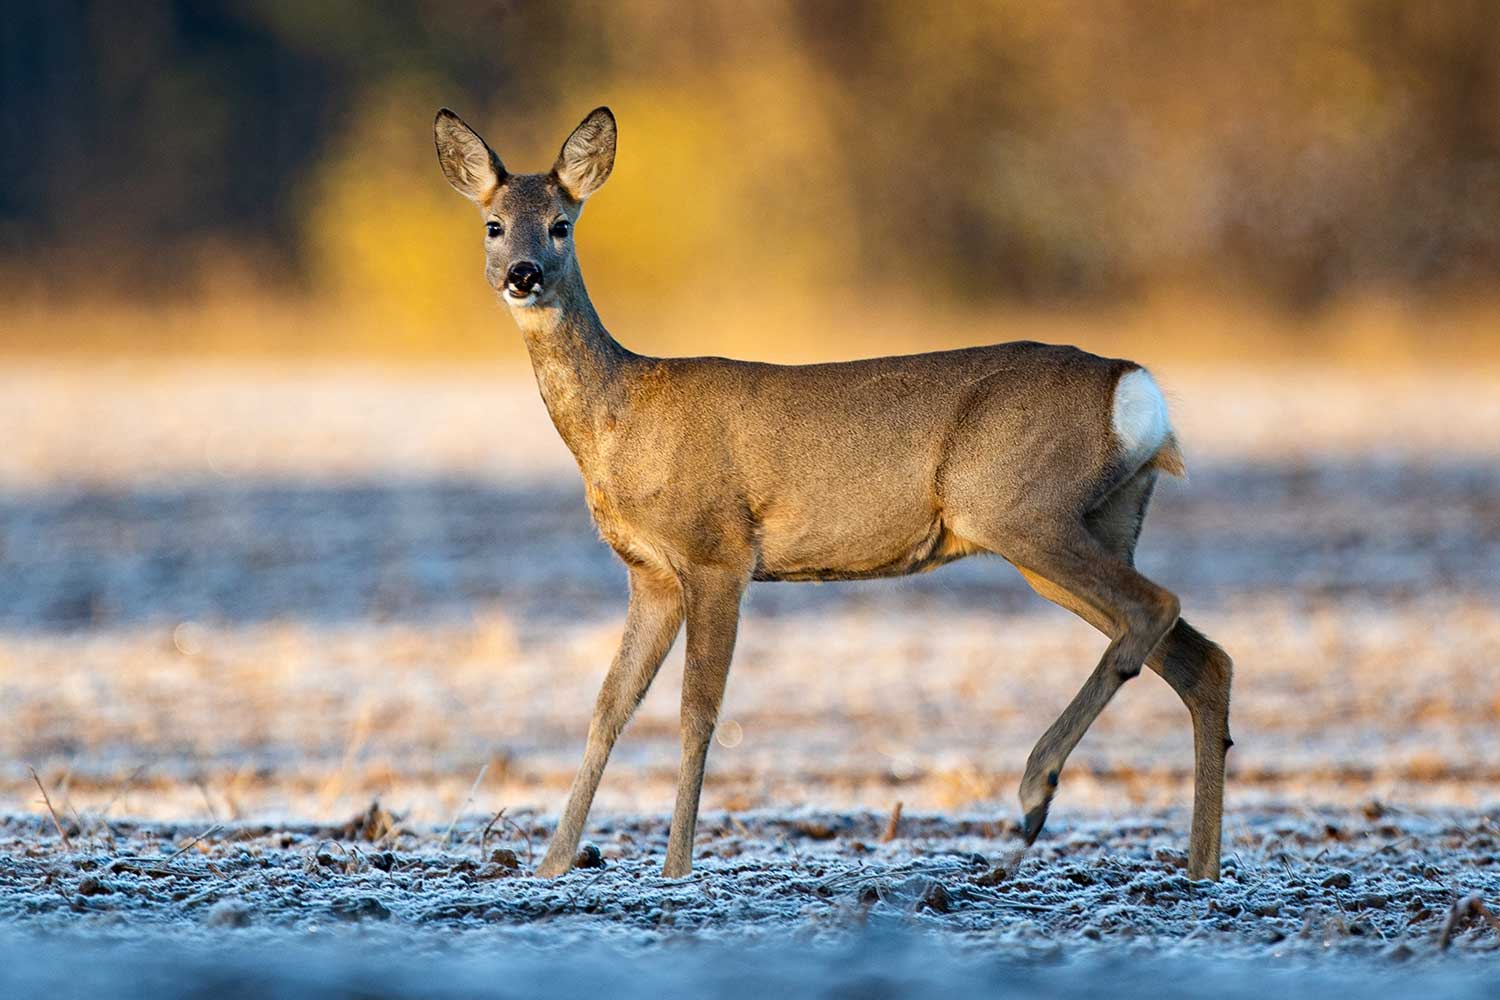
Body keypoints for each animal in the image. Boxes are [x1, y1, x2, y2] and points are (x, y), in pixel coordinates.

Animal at [432, 105, 1230, 881]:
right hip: (1090, 523)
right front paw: (551, 865)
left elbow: (698, 712)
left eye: (561, 224)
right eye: (493, 224)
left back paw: (1037, 791)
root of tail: (1138, 390)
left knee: (1156, 607)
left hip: (1017, 507)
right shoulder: (650, 573)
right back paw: (1199, 869)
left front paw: (676, 867)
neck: (620, 419)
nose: (523, 274)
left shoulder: (718, 552)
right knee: (1200, 659)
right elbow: (608, 707)